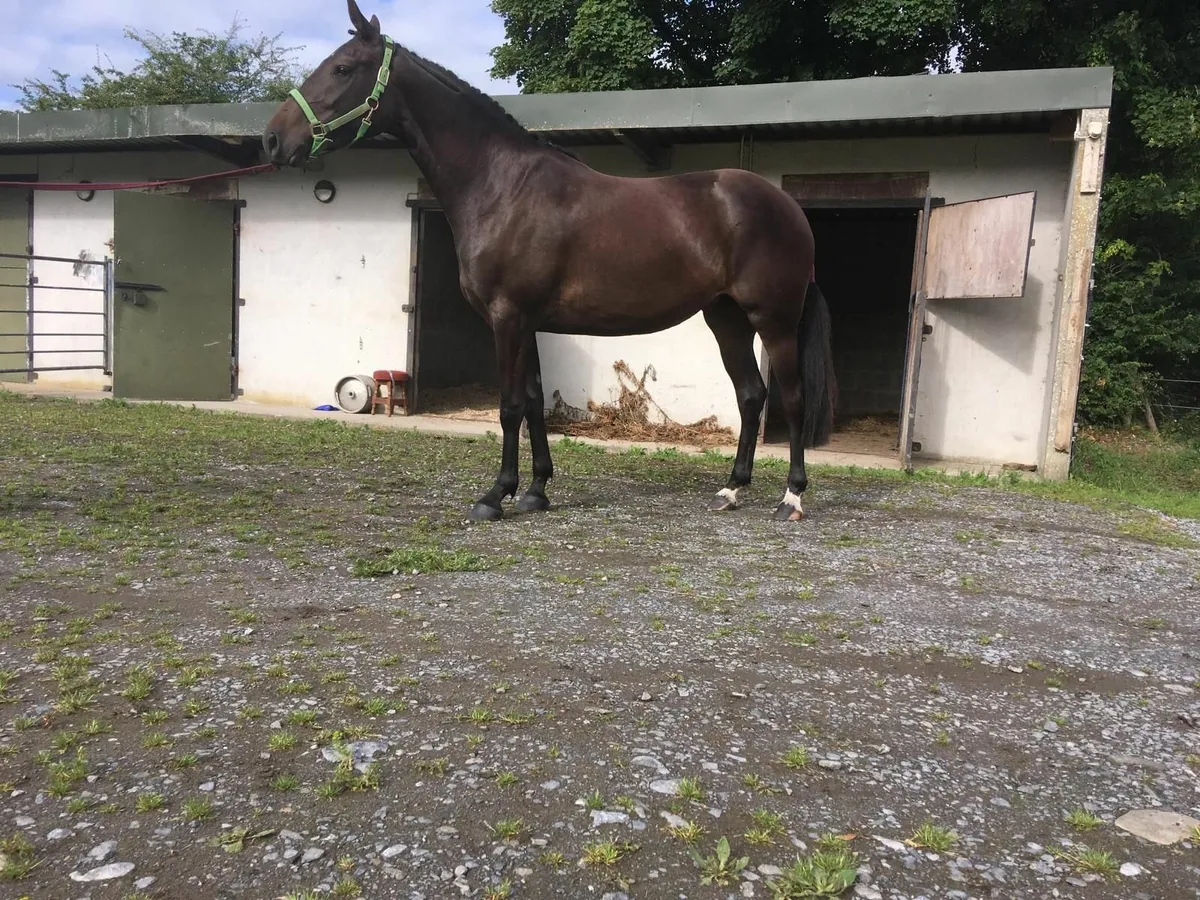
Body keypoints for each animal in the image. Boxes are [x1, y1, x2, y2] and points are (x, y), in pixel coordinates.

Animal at [263, 0, 836, 523]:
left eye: (343, 68)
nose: (273, 138)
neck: (501, 184)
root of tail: (786, 205)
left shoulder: (508, 317)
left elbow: (510, 406)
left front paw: (495, 496)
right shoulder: (529, 321)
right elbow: (535, 401)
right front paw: (536, 491)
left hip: (773, 319)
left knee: (791, 398)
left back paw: (791, 499)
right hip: (726, 317)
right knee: (751, 395)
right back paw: (731, 490)